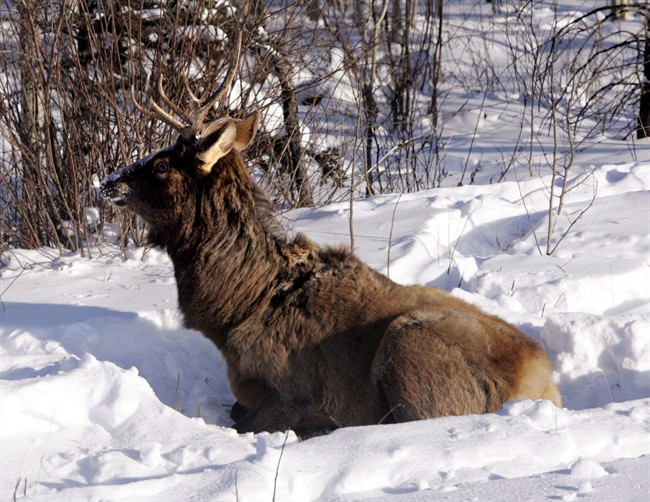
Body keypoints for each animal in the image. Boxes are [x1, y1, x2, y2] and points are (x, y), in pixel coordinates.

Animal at [101, 59, 561, 437]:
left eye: (162, 164)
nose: (108, 183)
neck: (237, 309)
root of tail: (540, 382)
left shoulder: (295, 391)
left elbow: (243, 420)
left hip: (410, 343)